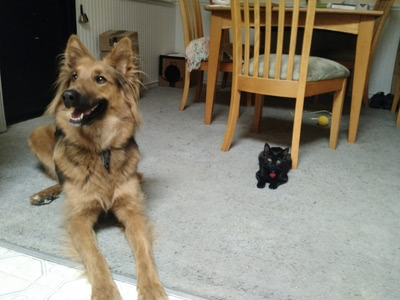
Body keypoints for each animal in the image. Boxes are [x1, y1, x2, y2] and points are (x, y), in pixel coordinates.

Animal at [28, 35, 167, 300]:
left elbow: (144, 254)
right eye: (74, 76)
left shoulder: (132, 212)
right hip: (39, 135)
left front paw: (151, 288)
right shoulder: (79, 221)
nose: (68, 96)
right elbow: (96, 258)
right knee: (60, 177)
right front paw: (105, 292)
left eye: (100, 79)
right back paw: (45, 193)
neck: (101, 150)